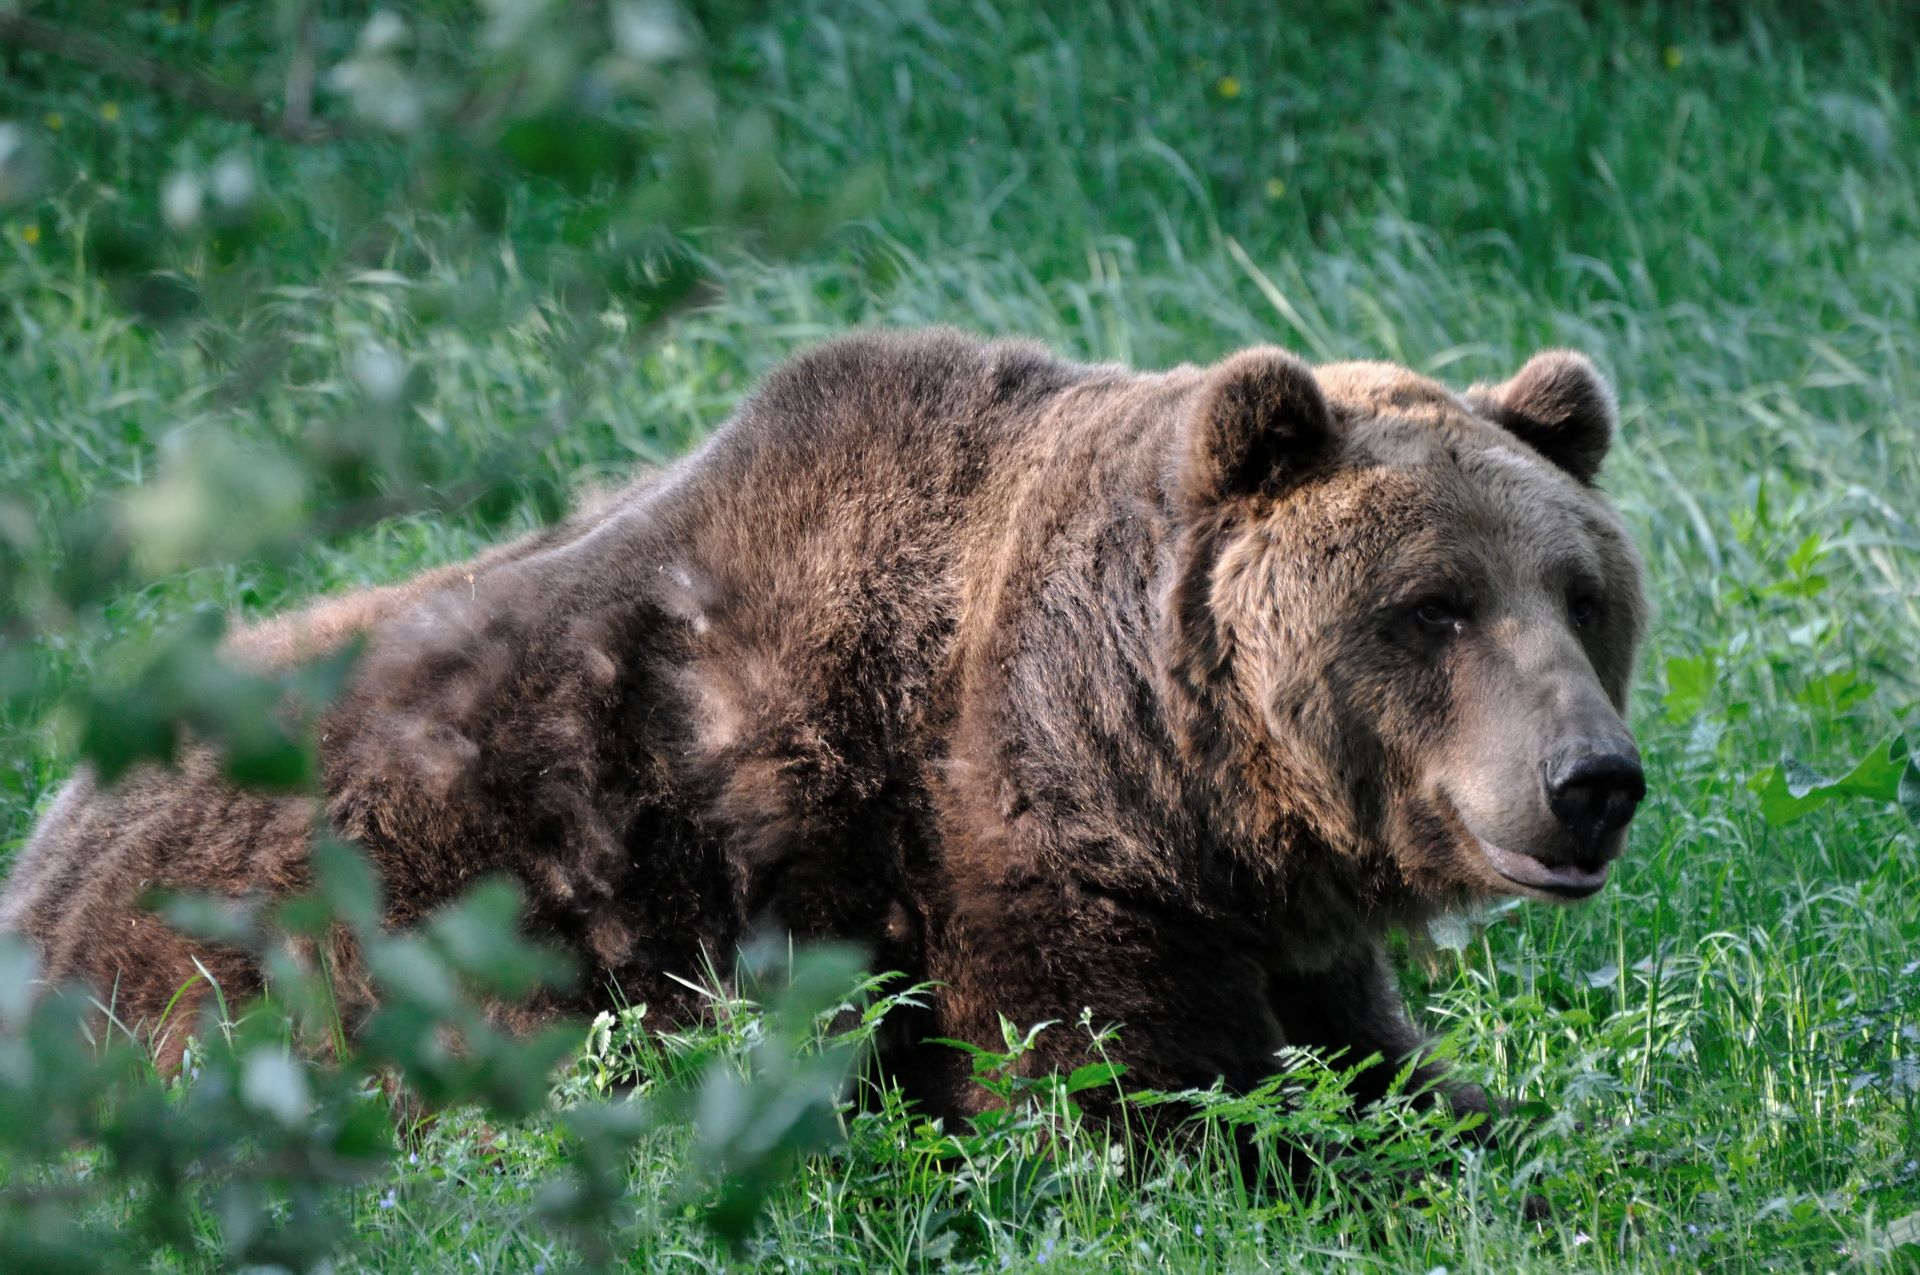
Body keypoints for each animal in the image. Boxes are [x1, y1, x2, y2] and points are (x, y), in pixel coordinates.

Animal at [3, 328, 1651, 1136]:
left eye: (1583, 594)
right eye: (1435, 606)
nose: (1594, 780)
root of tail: (48, 833)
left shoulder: (1267, 917)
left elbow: (1394, 1078)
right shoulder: (971, 855)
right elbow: (1148, 1104)